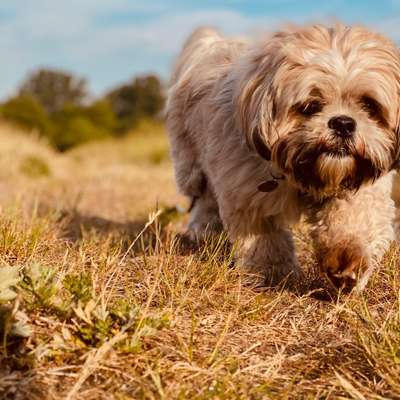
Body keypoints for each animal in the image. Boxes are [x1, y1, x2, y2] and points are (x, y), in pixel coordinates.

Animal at [165, 22, 400, 290]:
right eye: (310, 105)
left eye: (369, 105)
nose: (343, 123)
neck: (304, 172)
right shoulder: (247, 193)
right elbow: (267, 240)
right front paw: (273, 273)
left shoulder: (362, 185)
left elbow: (356, 219)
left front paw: (347, 261)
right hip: (191, 169)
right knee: (203, 198)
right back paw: (204, 232)